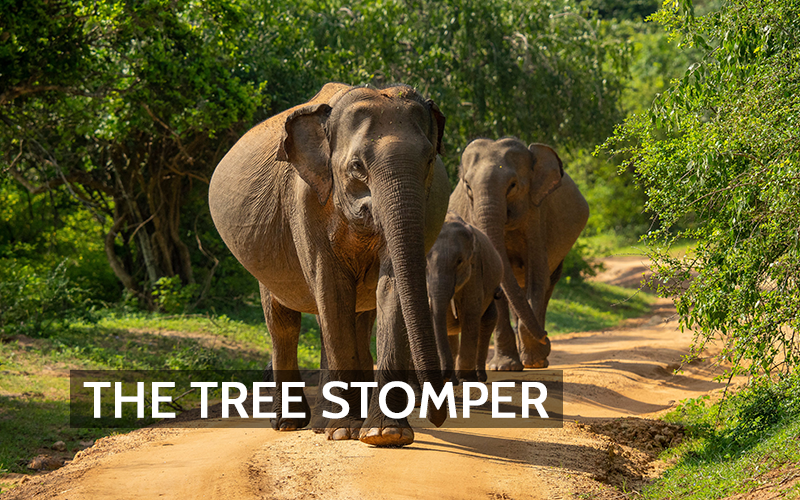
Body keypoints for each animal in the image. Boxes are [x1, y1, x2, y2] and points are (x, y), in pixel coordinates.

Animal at [208, 83, 451, 446]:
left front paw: (385, 435)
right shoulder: (305, 201)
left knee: (357, 319)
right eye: (357, 166)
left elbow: (391, 287)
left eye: (429, 161)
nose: (437, 416)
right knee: (284, 324)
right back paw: (292, 424)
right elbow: (332, 289)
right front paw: (345, 432)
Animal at [426, 212, 503, 384]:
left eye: (459, 261)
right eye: (425, 262)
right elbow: (446, 320)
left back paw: (479, 378)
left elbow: (470, 314)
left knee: (488, 321)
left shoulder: (474, 269)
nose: (442, 375)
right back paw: (455, 381)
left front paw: (467, 379)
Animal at [449, 137, 589, 370]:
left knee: (547, 284)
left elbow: (538, 278)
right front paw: (503, 367)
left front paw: (535, 361)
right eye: (467, 186)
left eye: (513, 186)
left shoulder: (536, 215)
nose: (547, 337)